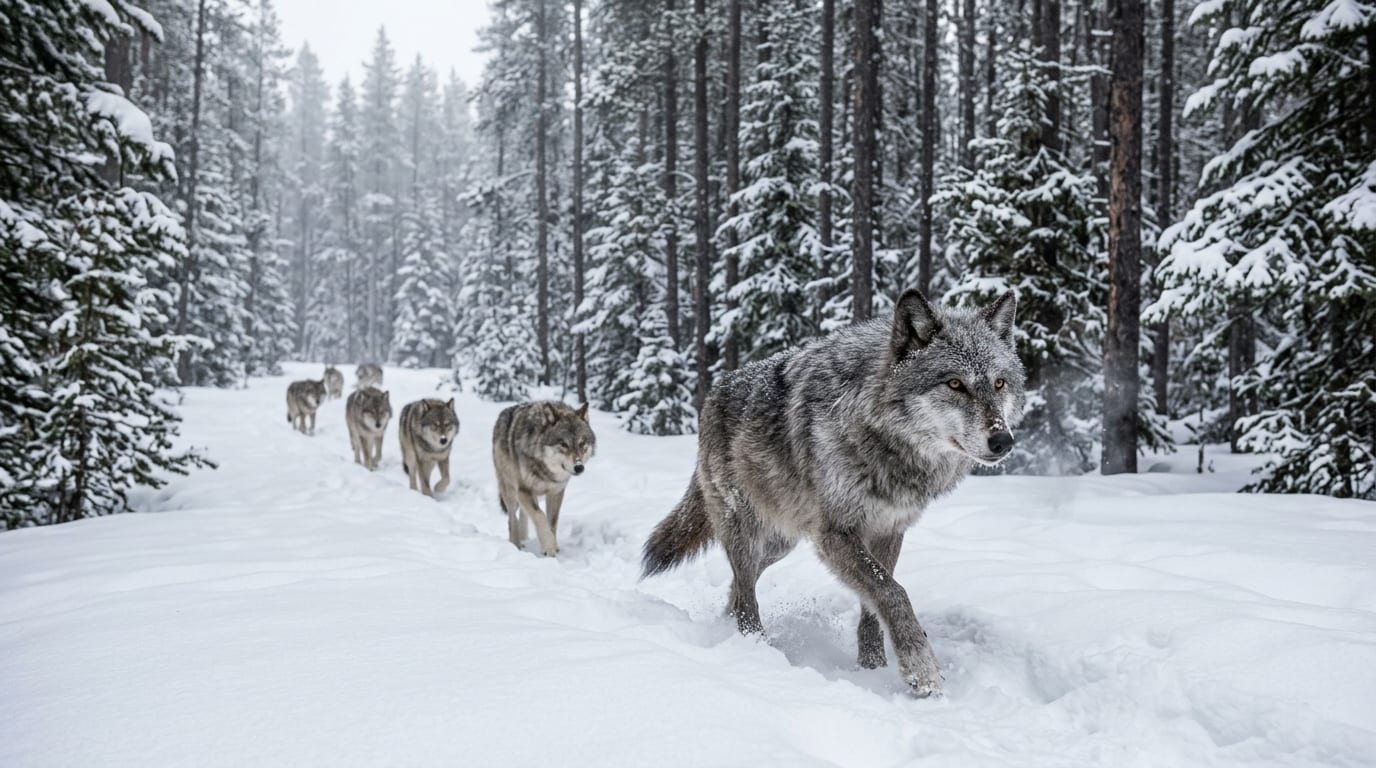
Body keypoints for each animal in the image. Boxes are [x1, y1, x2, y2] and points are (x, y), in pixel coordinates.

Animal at [492, 401, 596, 557]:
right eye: (564, 444)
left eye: (582, 443)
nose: (579, 467)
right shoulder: (523, 490)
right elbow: (540, 516)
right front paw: (549, 547)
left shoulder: (556, 492)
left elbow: (551, 522)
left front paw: (552, 546)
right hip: (510, 492)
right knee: (512, 519)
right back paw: (516, 545)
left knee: (523, 515)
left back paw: (524, 538)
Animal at [640, 290, 1025, 698]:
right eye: (954, 384)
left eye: (1000, 384)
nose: (1003, 441)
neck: (882, 440)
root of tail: (715, 391)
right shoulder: (835, 534)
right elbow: (893, 593)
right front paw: (921, 669)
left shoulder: (888, 530)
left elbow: (875, 603)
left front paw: (872, 667)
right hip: (745, 532)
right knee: (745, 593)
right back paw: (754, 648)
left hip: (780, 543)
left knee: (740, 589)